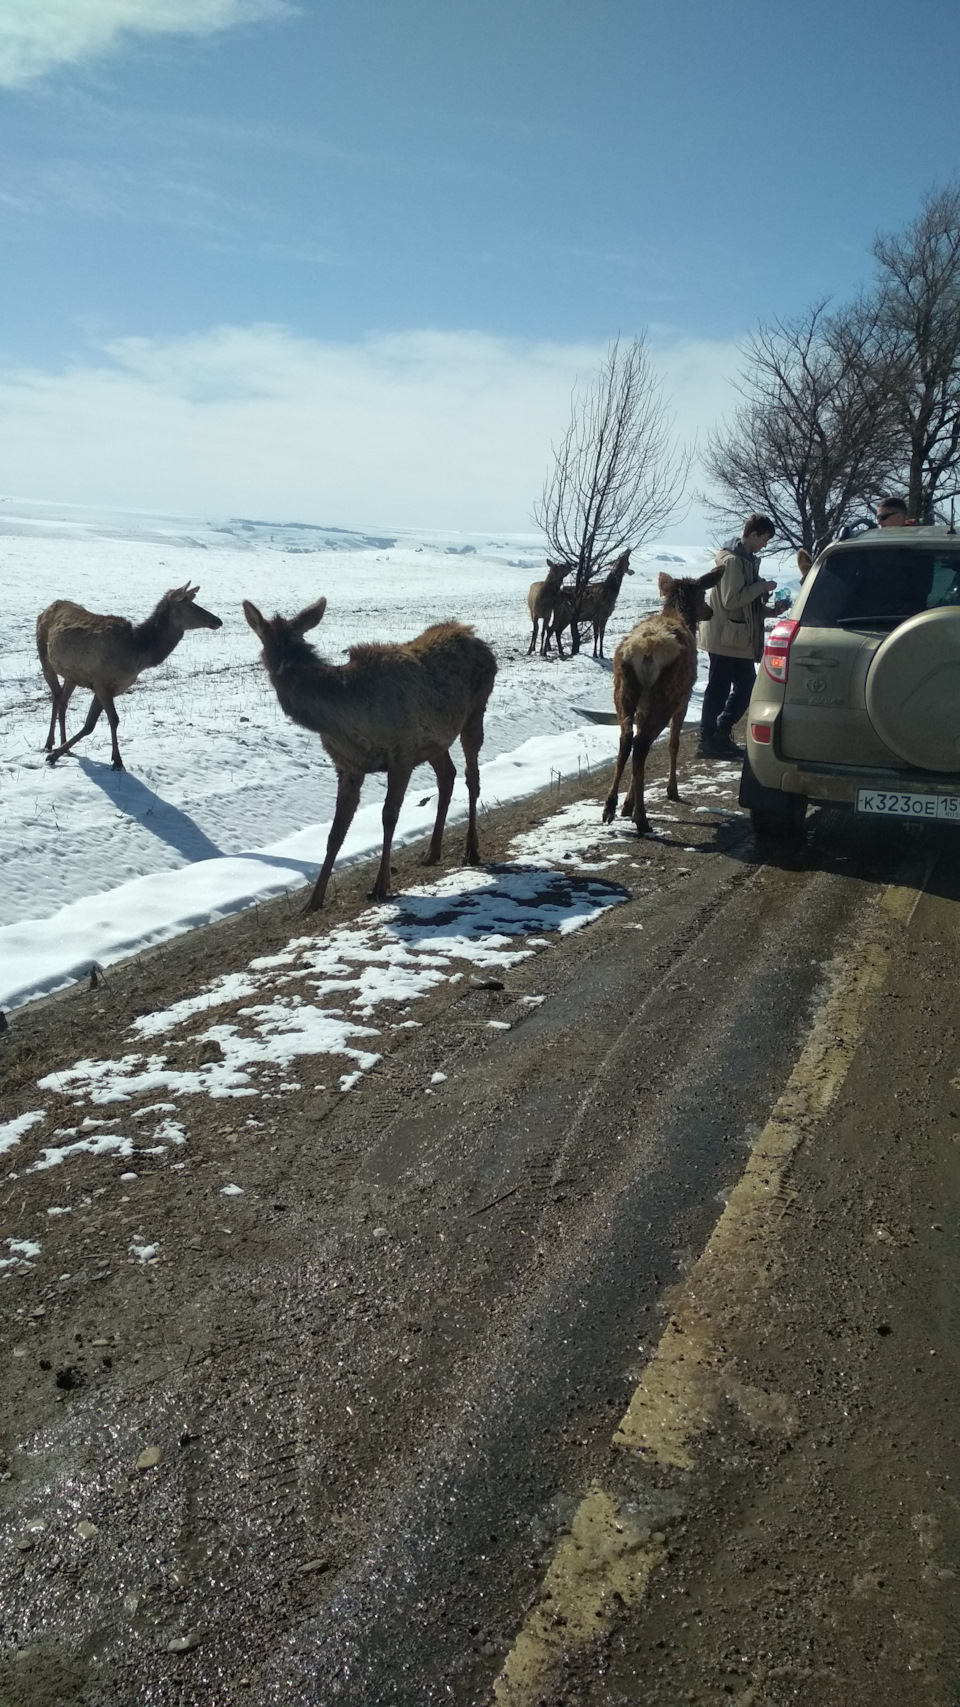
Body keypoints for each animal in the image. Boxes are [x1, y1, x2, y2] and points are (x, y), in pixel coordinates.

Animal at [37, 587, 222, 774]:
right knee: (55, 697)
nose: (218, 620)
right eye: (190, 605)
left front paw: (59, 753)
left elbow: (90, 725)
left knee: (62, 700)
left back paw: (62, 744)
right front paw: (117, 761)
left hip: (72, 675)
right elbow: (112, 720)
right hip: (45, 659)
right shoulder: (102, 683)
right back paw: (49, 744)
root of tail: (48, 607)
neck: (138, 653)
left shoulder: (104, 686)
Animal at [242, 604, 495, 921]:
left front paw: (380, 886)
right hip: (434, 743)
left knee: (472, 777)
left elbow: (389, 815)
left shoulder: (402, 752)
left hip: (475, 711)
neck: (344, 717)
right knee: (447, 776)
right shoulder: (347, 766)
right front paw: (312, 901)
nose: (283, 668)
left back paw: (471, 850)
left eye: (293, 639)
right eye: (268, 641)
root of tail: (475, 637)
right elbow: (336, 832)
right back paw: (432, 852)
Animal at [597, 570, 717, 836]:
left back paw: (610, 807)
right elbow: (674, 743)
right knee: (641, 744)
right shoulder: (684, 700)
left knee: (627, 740)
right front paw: (671, 790)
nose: (710, 612)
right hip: (667, 695)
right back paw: (642, 819)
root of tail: (647, 650)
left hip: (623, 691)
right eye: (703, 593)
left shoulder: (643, 708)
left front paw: (627, 804)